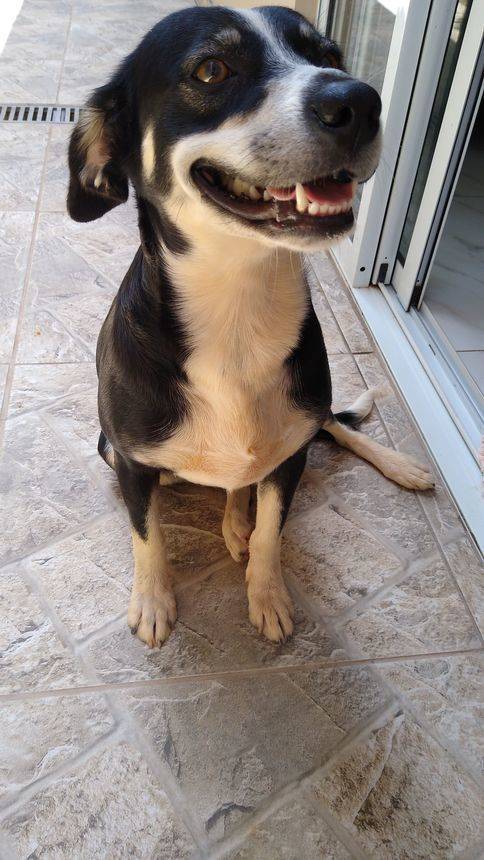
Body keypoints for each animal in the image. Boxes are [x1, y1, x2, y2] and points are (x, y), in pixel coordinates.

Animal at [67, 5, 434, 647]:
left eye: (329, 55)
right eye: (212, 69)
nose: (360, 101)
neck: (239, 308)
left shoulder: (291, 455)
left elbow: (270, 534)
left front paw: (267, 597)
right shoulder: (131, 461)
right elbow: (147, 539)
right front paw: (154, 602)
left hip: (308, 412)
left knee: (330, 428)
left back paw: (397, 467)